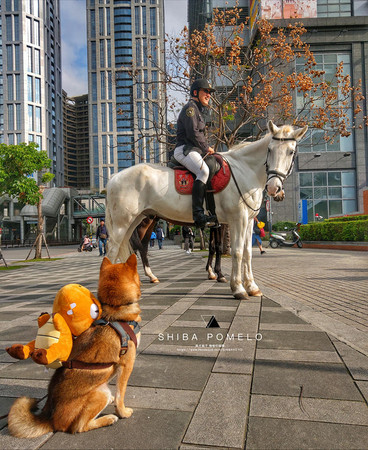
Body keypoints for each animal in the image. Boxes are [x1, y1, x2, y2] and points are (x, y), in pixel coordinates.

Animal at [9, 255, 141, 438]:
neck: (115, 309)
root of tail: (50, 419)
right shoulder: (127, 364)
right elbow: (121, 393)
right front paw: (122, 412)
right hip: (100, 393)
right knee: (78, 427)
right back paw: (107, 419)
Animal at [105, 121, 306, 300]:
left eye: (291, 152)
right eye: (270, 150)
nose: (273, 188)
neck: (244, 170)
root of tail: (115, 177)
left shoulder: (247, 221)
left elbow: (247, 252)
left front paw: (252, 287)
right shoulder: (237, 219)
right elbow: (236, 251)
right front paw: (237, 288)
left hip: (136, 220)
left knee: (131, 248)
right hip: (124, 224)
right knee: (114, 251)